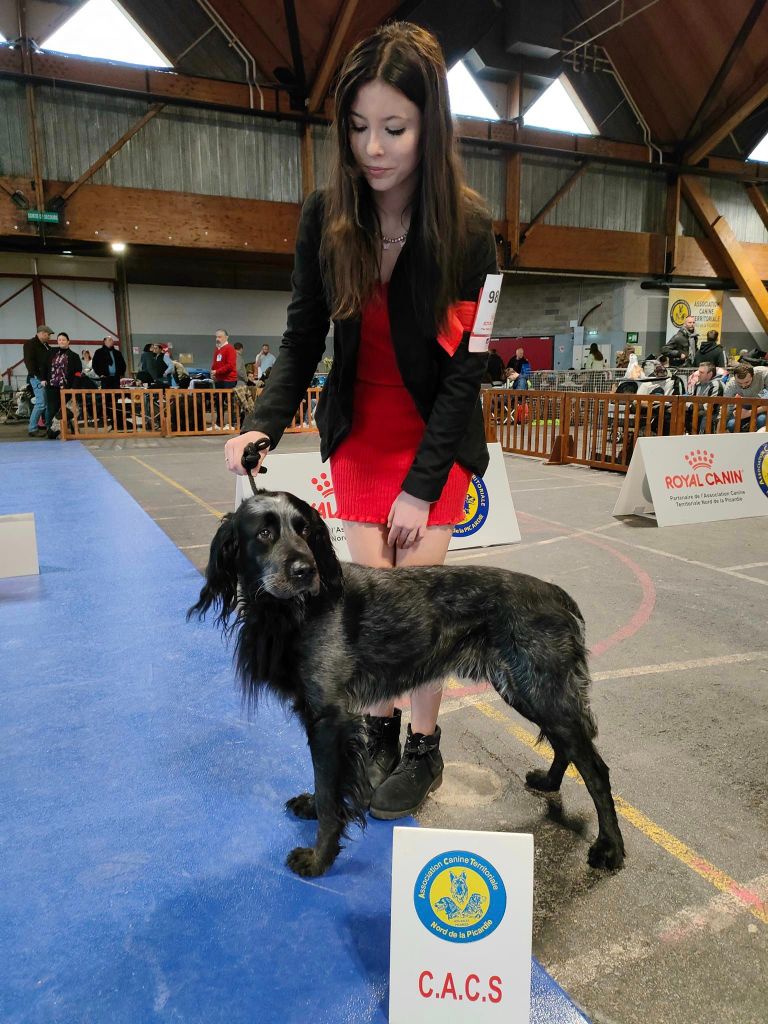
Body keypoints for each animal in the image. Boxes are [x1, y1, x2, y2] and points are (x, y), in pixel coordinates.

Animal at [189, 491, 626, 876]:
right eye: (264, 533)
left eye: (306, 530)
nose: (304, 572)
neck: (294, 611)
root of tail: (555, 593)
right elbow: (328, 783)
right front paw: (312, 808)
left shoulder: (329, 719)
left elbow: (331, 795)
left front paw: (318, 859)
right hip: (528, 690)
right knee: (567, 746)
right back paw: (550, 782)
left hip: (537, 688)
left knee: (596, 769)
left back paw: (610, 848)